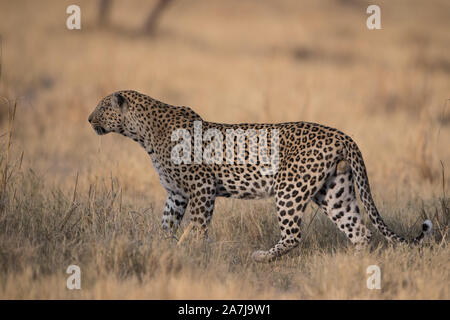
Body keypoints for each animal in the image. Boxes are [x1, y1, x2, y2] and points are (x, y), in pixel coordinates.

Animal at [87, 90, 432, 262]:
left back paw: (262, 257)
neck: (142, 133)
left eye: (101, 107)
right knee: (360, 230)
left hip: (289, 189)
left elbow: (197, 226)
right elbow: (166, 224)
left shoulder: (201, 188)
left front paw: (192, 251)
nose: (89, 119)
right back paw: (356, 267)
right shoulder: (177, 194)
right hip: (334, 191)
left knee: (294, 234)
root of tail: (342, 135)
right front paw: (163, 248)